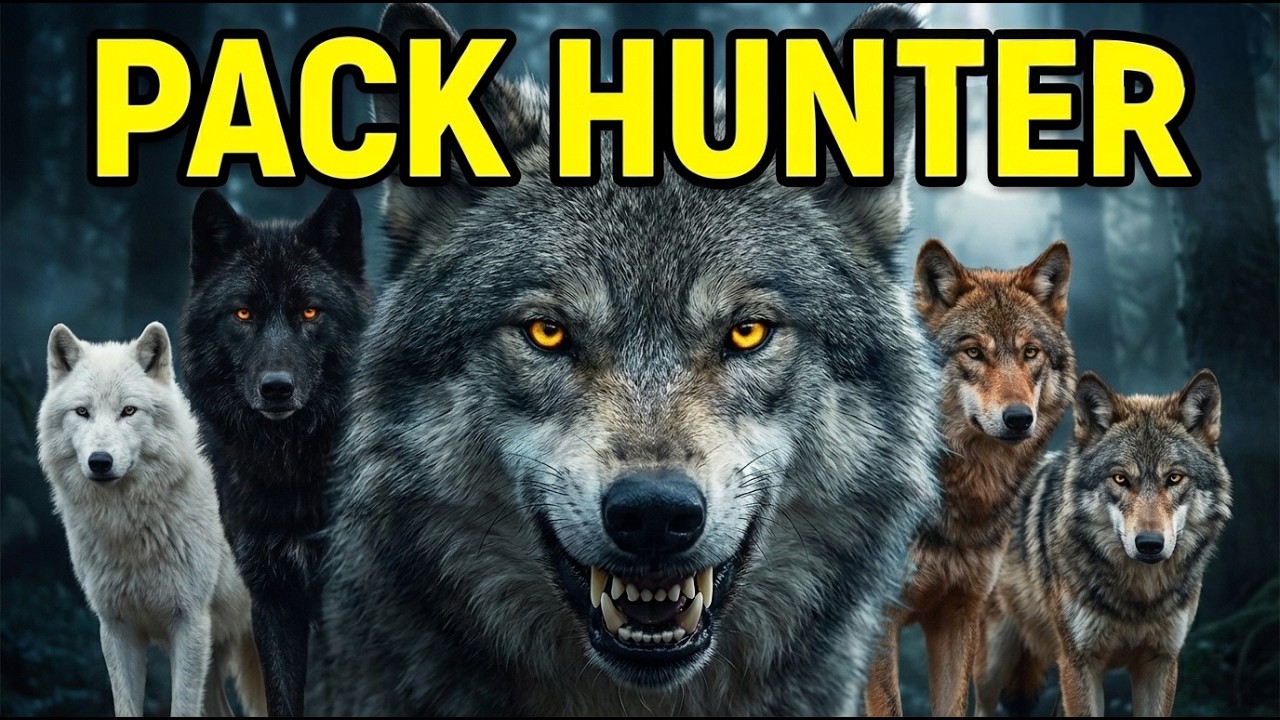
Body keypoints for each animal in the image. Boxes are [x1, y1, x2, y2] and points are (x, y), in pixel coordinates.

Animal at [35, 322, 266, 717]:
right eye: (82, 412)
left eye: (129, 410)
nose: (100, 461)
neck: (130, 528)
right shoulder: (116, 628)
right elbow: (126, 705)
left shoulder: (189, 624)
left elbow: (181, 708)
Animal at [974, 370, 1232, 717]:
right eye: (1120, 478)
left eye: (1174, 478)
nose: (1149, 544)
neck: (1139, 597)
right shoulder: (1080, 663)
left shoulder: (1161, 662)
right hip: (993, 662)